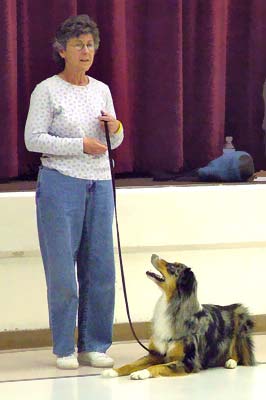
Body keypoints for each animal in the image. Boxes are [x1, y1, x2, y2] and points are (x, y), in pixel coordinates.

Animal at [102, 255, 256, 380]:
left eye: (172, 267)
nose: (154, 255)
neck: (170, 304)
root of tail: (230, 307)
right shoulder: (155, 354)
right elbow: (132, 363)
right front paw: (113, 371)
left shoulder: (189, 362)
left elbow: (158, 367)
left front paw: (142, 373)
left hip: (239, 318)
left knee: (237, 351)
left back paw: (231, 362)